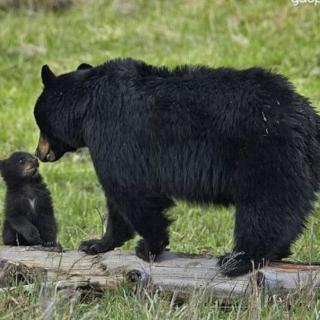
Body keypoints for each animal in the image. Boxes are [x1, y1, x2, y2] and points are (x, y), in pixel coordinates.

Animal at [32, 58, 320, 276]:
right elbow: (119, 200)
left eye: (40, 124)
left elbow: (131, 191)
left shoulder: (114, 135)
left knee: (264, 208)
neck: (87, 104)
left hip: (265, 155)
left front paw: (149, 246)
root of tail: (306, 118)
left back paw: (237, 260)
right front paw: (96, 243)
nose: (38, 153)